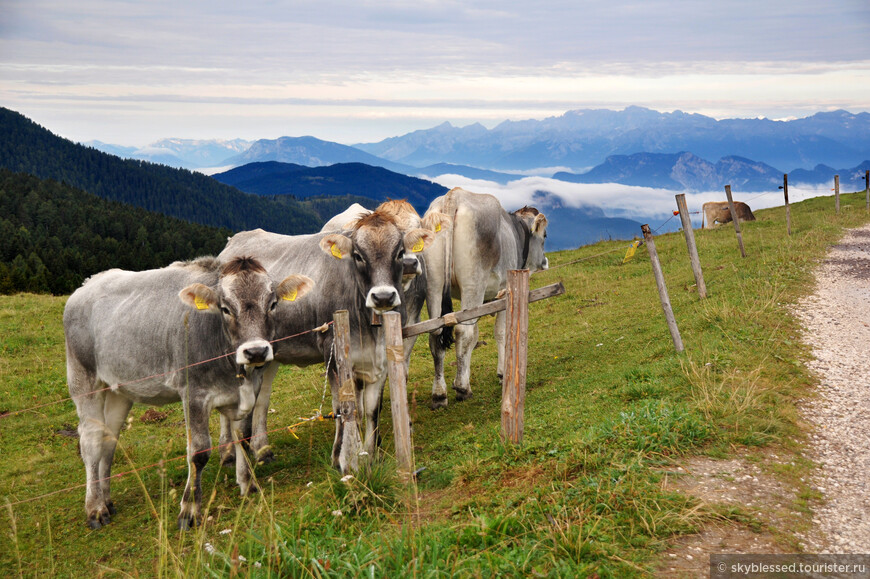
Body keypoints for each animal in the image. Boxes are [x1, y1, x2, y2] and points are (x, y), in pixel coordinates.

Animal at [63, 258, 314, 532]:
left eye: (272, 304)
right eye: (225, 309)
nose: (256, 351)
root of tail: (88, 284)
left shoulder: (249, 392)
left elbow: (243, 437)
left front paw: (248, 484)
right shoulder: (194, 394)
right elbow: (199, 452)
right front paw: (189, 510)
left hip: (119, 389)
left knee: (109, 438)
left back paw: (107, 501)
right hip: (83, 378)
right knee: (91, 442)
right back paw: (95, 508)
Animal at [218, 211, 436, 474]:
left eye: (400, 252)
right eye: (358, 255)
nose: (383, 296)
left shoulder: (381, 358)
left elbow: (372, 408)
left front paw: (371, 455)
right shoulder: (333, 354)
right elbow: (343, 406)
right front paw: (343, 458)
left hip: (267, 354)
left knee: (262, 398)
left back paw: (262, 451)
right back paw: (228, 454)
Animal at [424, 187, 552, 408]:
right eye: (544, 234)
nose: (545, 261)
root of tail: (454, 195)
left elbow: (475, 336)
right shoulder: (504, 293)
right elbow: (501, 332)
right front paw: (502, 373)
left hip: (434, 285)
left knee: (437, 334)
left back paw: (440, 394)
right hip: (473, 284)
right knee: (462, 332)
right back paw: (462, 389)